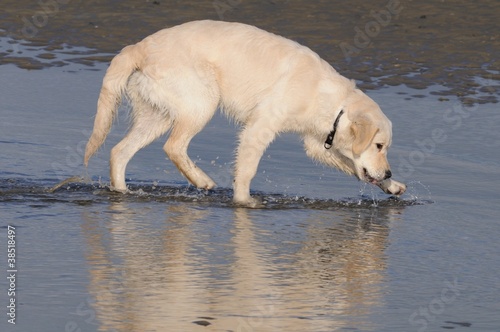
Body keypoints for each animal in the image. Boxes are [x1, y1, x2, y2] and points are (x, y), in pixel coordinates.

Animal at [85, 19, 406, 206]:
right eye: (379, 145)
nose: (389, 171)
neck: (333, 102)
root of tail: (138, 46)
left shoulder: (316, 145)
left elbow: (352, 166)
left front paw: (392, 186)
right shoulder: (259, 127)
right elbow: (247, 170)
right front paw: (244, 203)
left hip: (158, 115)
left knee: (119, 152)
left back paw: (122, 194)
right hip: (202, 102)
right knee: (173, 147)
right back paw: (202, 181)